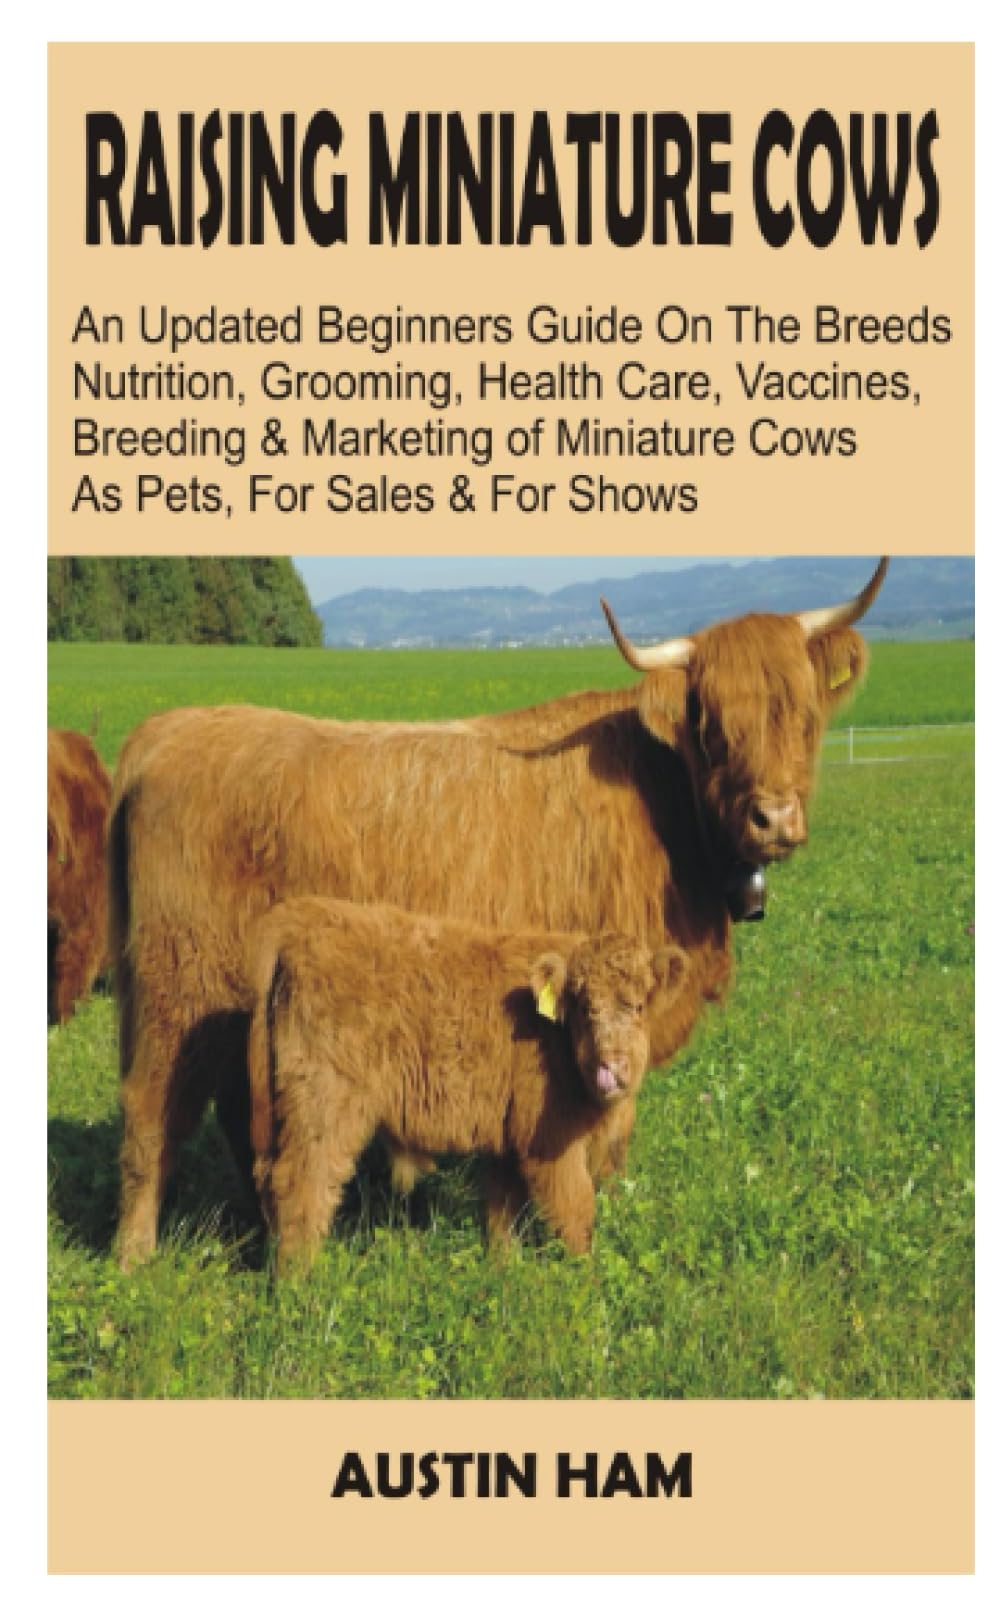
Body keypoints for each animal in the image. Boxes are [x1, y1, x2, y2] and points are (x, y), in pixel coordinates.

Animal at [247, 896, 689, 1271]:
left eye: (639, 1005)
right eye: (583, 1007)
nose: (609, 1067)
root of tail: (305, 916)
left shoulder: (512, 1134)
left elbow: (502, 1205)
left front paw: (503, 1267)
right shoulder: (549, 1143)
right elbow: (576, 1208)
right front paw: (585, 1277)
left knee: (270, 1176)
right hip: (323, 1102)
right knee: (304, 1183)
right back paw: (298, 1285)